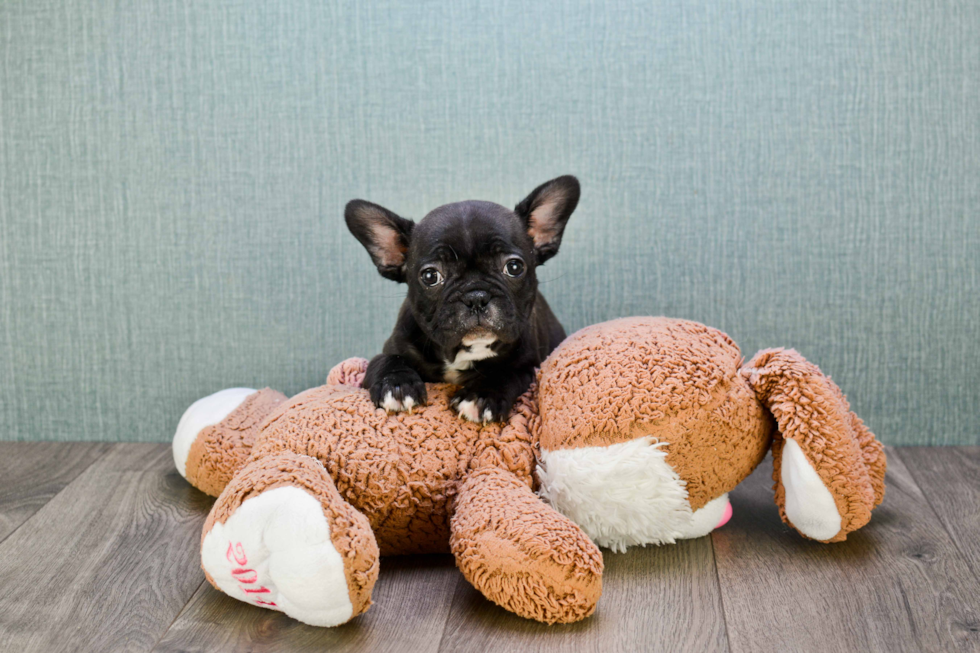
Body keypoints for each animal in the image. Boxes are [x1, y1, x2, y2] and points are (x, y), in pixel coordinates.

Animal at [344, 176, 580, 422]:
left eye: (514, 267)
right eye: (430, 276)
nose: (476, 297)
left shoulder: (527, 365)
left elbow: (506, 373)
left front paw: (481, 395)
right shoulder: (391, 348)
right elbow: (385, 360)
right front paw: (397, 385)